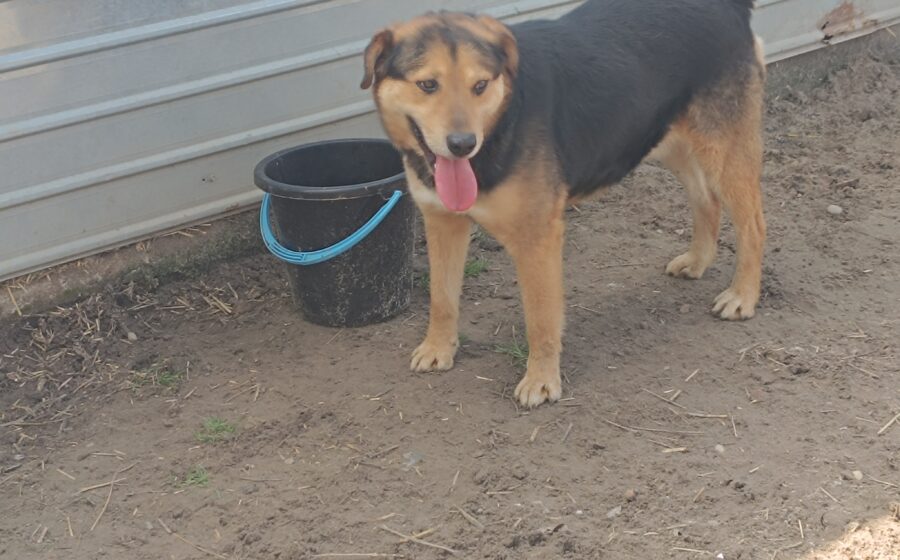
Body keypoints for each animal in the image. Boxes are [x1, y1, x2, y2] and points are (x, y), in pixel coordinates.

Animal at [361, 0, 767, 407]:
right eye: (427, 85)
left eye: (480, 86)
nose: (463, 144)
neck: (503, 123)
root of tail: (727, 5)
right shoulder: (442, 222)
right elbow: (441, 297)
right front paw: (439, 348)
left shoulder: (537, 238)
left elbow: (540, 318)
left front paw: (541, 380)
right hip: (665, 139)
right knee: (706, 198)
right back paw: (698, 261)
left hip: (723, 149)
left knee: (754, 224)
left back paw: (743, 296)